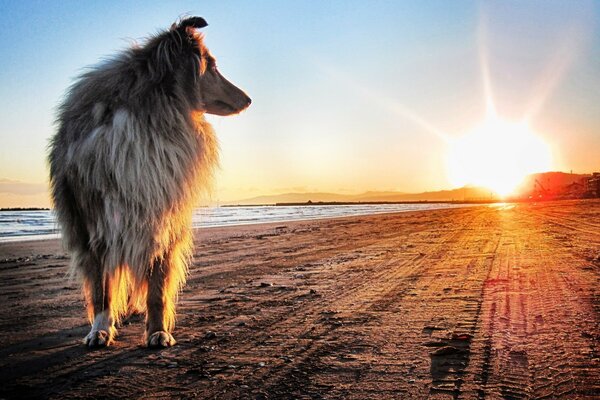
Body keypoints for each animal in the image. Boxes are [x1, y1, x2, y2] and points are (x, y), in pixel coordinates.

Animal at [48, 16, 251, 346]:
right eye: (212, 66)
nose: (248, 99)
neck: (153, 120)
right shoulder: (96, 227)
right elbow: (102, 289)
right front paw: (100, 330)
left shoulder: (161, 220)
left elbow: (157, 288)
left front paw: (158, 331)